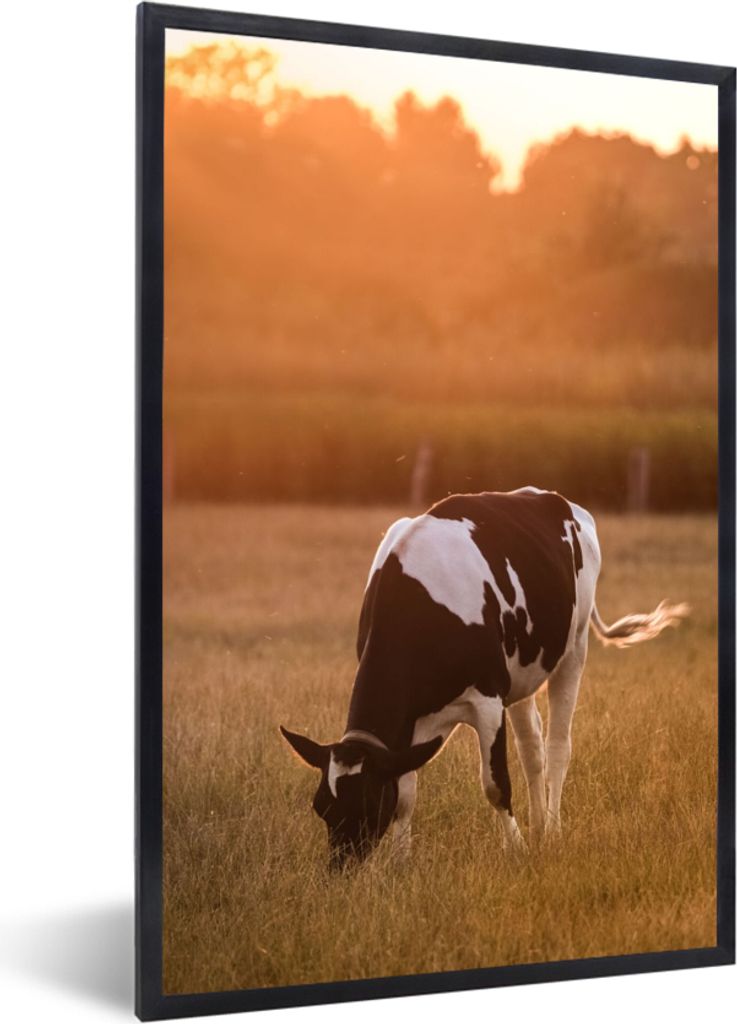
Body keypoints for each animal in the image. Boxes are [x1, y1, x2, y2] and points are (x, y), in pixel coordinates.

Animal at [281, 487, 687, 870]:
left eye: (369, 801)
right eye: (321, 806)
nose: (341, 867)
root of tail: (556, 500)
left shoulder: (488, 700)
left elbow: (496, 784)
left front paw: (516, 850)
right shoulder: (412, 723)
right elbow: (407, 791)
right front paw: (400, 862)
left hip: (574, 649)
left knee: (558, 745)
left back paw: (553, 830)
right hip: (523, 672)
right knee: (533, 747)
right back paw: (539, 827)